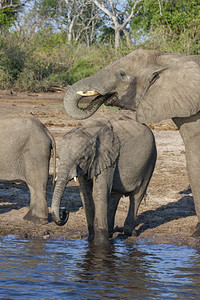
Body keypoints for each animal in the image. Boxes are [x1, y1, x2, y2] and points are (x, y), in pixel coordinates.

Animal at [51, 116, 156, 245]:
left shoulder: (108, 158)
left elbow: (99, 192)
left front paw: (101, 245)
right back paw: (111, 233)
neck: (89, 131)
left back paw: (130, 233)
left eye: (81, 158)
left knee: (137, 195)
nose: (65, 212)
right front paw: (90, 240)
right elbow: (86, 195)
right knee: (115, 195)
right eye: (59, 157)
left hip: (151, 159)